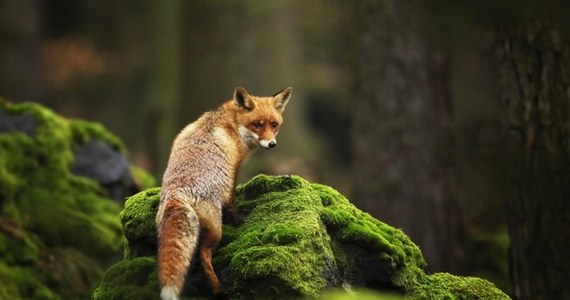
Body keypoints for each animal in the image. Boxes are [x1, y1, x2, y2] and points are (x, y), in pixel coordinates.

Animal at [153, 86, 290, 300]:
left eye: (274, 125)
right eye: (257, 125)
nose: (271, 144)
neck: (231, 124)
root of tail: (177, 192)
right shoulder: (232, 172)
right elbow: (232, 201)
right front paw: (238, 221)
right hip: (216, 231)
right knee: (204, 256)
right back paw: (218, 289)